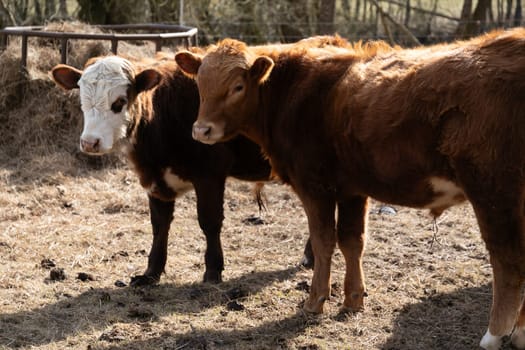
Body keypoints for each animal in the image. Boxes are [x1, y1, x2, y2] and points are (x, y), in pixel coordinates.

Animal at [175, 29, 524, 350]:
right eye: (200, 84)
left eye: (237, 86)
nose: (201, 130)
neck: (291, 91)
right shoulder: (353, 190)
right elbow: (352, 241)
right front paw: (353, 299)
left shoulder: (314, 187)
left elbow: (323, 242)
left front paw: (315, 301)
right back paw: (519, 333)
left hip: (493, 195)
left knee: (508, 262)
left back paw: (494, 335)